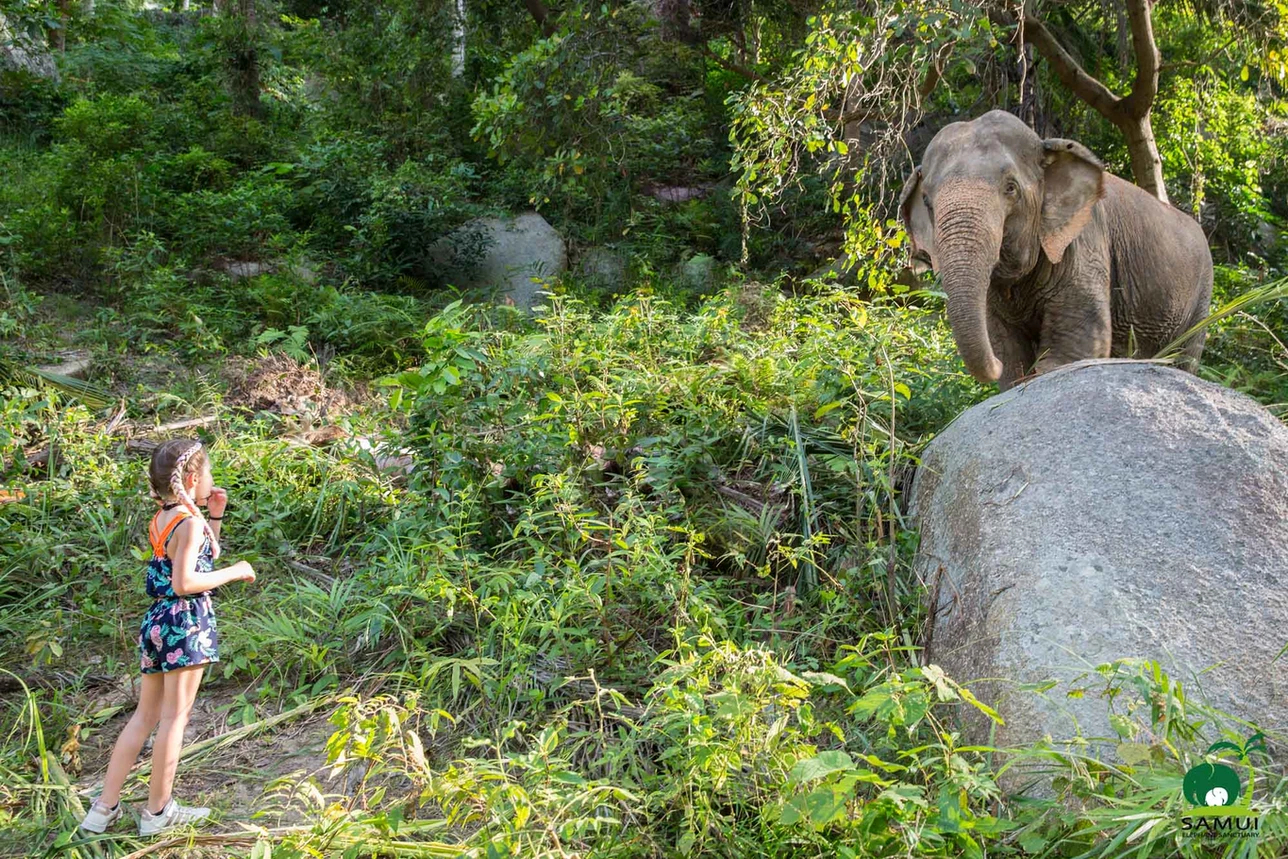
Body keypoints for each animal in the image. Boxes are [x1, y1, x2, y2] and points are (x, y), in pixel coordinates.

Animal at [899, 110, 1213, 390]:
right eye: (926, 200)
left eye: (1011, 188)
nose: (993, 364)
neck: (1045, 145)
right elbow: (1004, 344)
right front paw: (1012, 371)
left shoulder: (1084, 242)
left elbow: (1078, 347)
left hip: (1201, 301)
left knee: (1187, 357)